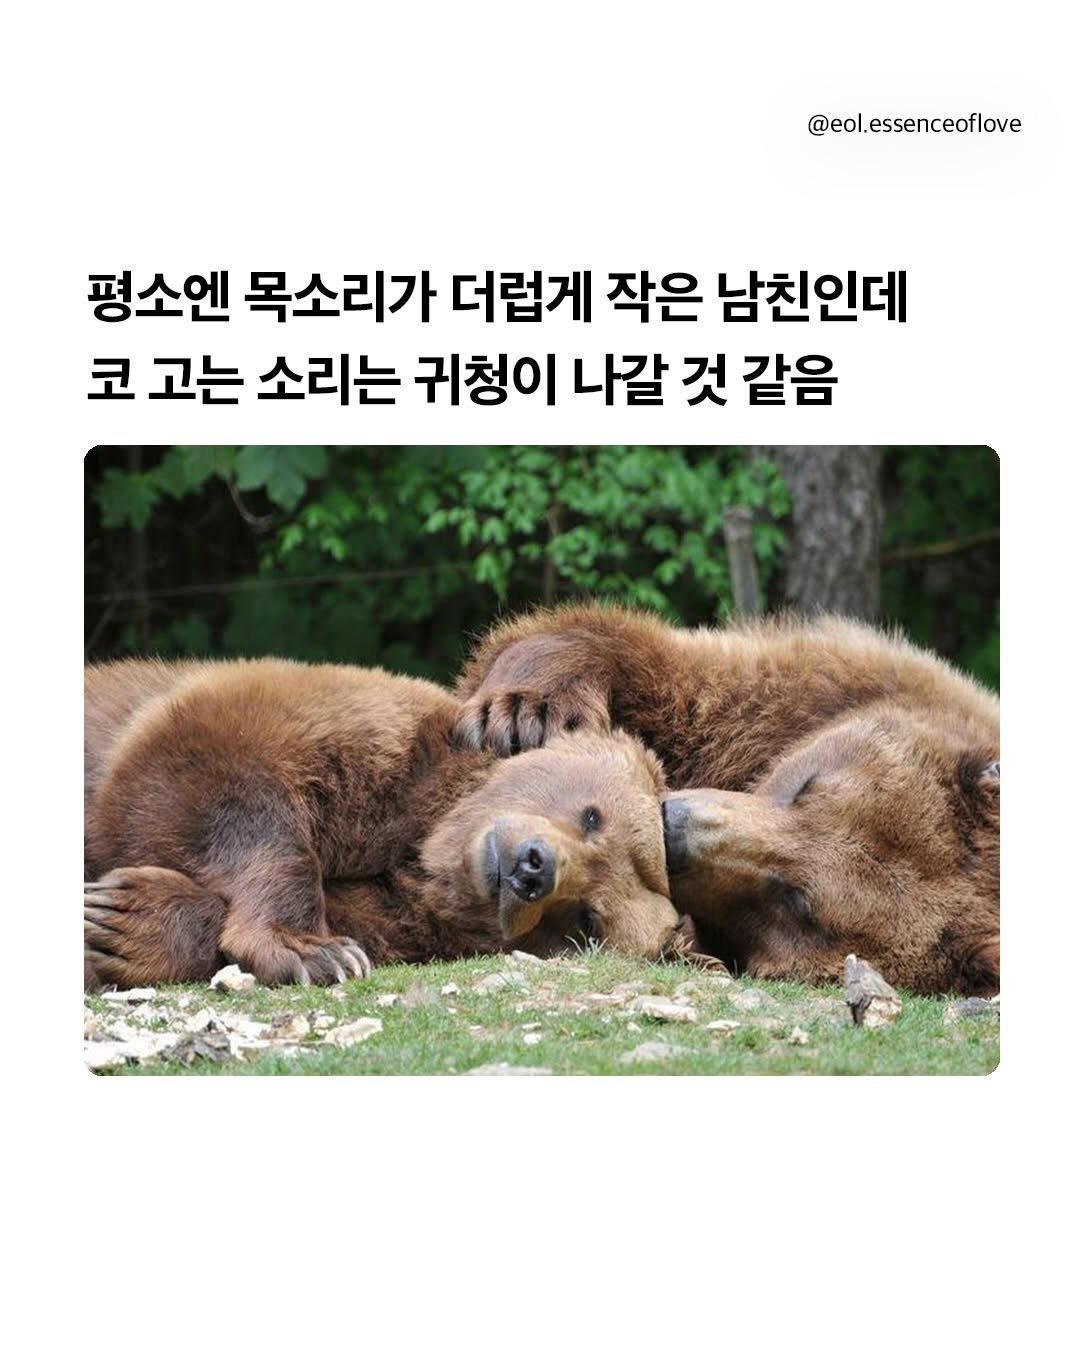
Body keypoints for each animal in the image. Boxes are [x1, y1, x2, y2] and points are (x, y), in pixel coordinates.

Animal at [84, 658, 680, 990]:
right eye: (592, 815)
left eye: (585, 917)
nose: (533, 869)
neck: (420, 842)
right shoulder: (374, 740)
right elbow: (217, 769)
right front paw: (312, 949)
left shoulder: (396, 911)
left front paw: (125, 922)